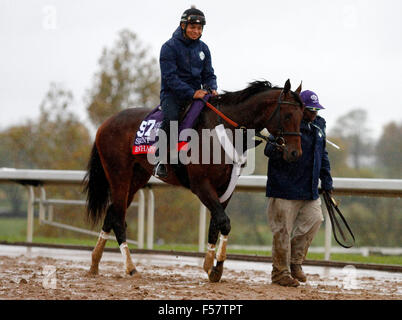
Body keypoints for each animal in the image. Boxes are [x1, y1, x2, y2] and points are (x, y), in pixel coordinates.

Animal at [85, 80, 304, 282]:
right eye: (287, 115)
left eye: (302, 117)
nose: (295, 153)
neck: (222, 129)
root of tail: (104, 124)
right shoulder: (201, 185)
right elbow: (224, 222)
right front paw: (215, 268)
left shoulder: (226, 188)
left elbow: (216, 224)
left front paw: (211, 267)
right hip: (119, 175)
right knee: (118, 219)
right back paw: (131, 268)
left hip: (136, 178)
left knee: (111, 214)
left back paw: (94, 264)